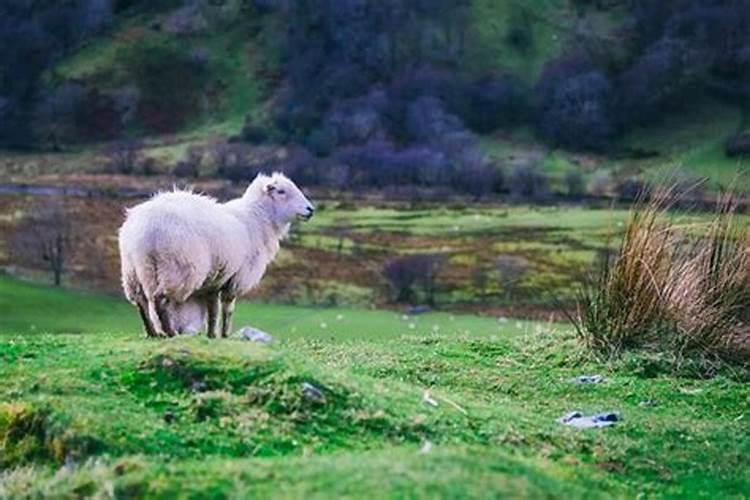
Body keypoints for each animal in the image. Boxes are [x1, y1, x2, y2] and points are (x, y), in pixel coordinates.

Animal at [118, 173, 318, 340]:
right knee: (160, 301)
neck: (258, 220)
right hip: (177, 269)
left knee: (141, 302)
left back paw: (153, 333)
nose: (310, 209)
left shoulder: (215, 279)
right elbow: (228, 309)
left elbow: (213, 309)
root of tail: (146, 229)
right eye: (282, 191)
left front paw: (212, 335)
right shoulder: (236, 277)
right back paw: (170, 333)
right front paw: (225, 335)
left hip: (133, 271)